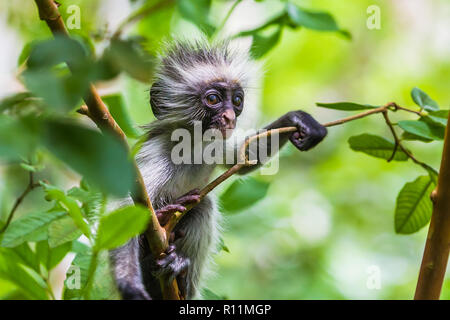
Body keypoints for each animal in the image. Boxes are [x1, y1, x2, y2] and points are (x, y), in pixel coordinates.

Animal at [109, 39, 326, 300]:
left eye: (237, 101)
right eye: (213, 99)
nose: (230, 117)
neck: (190, 146)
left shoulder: (214, 143)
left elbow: (243, 159)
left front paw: (298, 120)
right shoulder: (156, 153)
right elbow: (123, 208)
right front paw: (128, 282)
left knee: (202, 206)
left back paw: (179, 275)